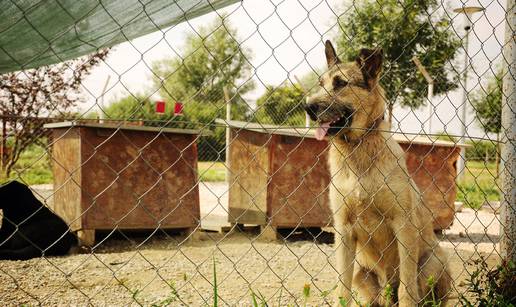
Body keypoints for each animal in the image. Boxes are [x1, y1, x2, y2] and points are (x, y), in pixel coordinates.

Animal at [304, 41, 450, 307]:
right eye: (321, 83)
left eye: (340, 83)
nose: (307, 107)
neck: (358, 147)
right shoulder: (343, 230)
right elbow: (342, 289)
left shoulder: (403, 225)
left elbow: (407, 289)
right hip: (362, 272)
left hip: (434, 262)